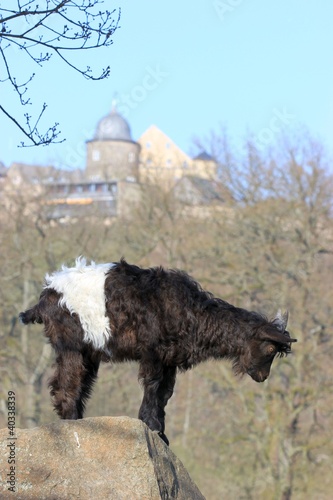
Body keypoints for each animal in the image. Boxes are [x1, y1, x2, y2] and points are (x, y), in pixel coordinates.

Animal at [20, 258, 296, 446]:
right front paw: (151, 426)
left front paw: (161, 434)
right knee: (66, 382)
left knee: (78, 383)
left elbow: (165, 393)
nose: (263, 376)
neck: (193, 313)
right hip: (72, 346)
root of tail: (46, 295)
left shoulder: (168, 359)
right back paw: (71, 423)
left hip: (89, 351)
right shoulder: (152, 352)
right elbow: (152, 386)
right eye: (270, 347)